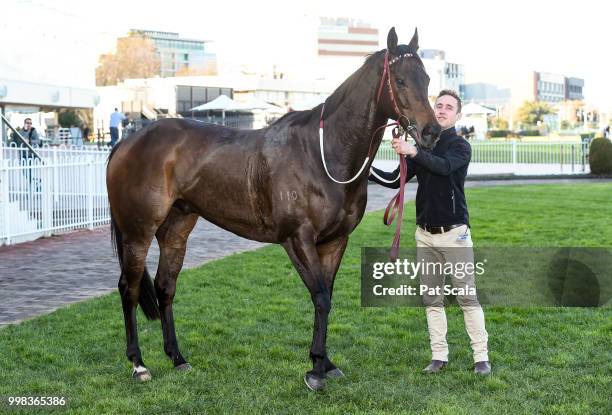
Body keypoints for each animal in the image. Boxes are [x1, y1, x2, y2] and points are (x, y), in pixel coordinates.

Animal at [106, 27, 440, 392]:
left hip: (176, 228)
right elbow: (320, 297)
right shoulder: (297, 239)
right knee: (128, 288)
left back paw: (178, 358)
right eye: (400, 79)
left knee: (165, 286)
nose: (432, 132)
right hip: (138, 231)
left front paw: (325, 363)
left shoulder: (335, 241)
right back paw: (138, 364)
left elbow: (327, 296)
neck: (321, 154)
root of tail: (126, 142)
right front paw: (316, 370)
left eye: (426, 78)